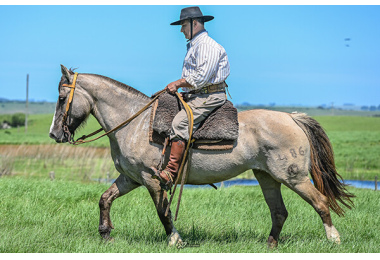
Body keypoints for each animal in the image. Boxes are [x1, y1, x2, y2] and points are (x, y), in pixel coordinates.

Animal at [49, 65, 354, 248]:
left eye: (62, 99)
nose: (54, 134)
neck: (135, 122)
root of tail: (291, 117)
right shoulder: (131, 178)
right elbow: (105, 198)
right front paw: (105, 233)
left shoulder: (152, 180)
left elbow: (163, 212)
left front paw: (175, 240)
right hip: (267, 178)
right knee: (279, 212)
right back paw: (270, 245)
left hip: (294, 177)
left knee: (320, 202)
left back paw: (334, 239)